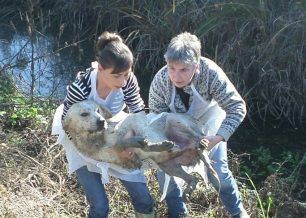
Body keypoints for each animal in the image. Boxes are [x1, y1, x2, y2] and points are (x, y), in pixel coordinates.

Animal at [62, 99, 218, 198]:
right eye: (84, 114)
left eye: (98, 110)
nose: (101, 121)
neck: (97, 139)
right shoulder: (122, 157)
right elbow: (124, 145)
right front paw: (137, 144)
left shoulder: (134, 121)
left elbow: (143, 138)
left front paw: (158, 145)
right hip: (169, 166)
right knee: (193, 178)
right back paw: (188, 189)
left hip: (173, 120)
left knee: (198, 139)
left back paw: (202, 144)